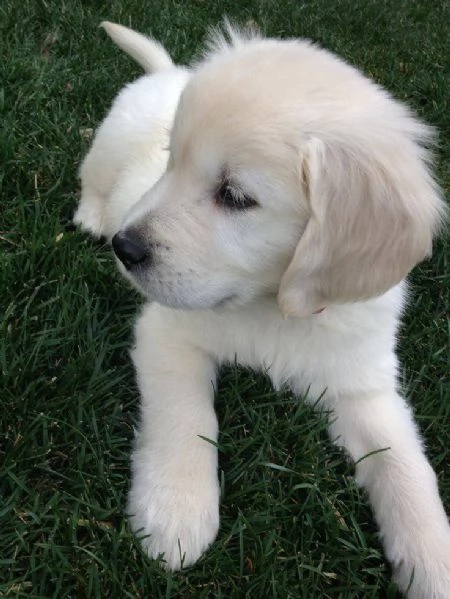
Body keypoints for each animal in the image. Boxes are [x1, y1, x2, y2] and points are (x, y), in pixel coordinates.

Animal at [79, 21, 448, 596]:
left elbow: (404, 463)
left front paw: (433, 557)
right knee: (91, 177)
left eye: (234, 196)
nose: (126, 248)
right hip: (107, 147)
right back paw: (92, 213)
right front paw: (176, 510)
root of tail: (168, 71)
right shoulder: (167, 335)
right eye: (169, 159)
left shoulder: (363, 384)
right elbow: (185, 416)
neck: (273, 306)